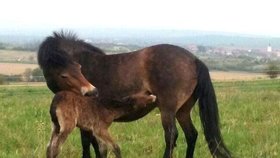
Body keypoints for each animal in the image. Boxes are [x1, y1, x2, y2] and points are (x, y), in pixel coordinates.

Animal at [38, 31, 232, 157]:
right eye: (64, 74)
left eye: (79, 68)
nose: (92, 92)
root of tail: (194, 59)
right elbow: (97, 146)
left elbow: (88, 145)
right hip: (183, 110)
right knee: (191, 135)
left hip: (168, 109)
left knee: (171, 136)